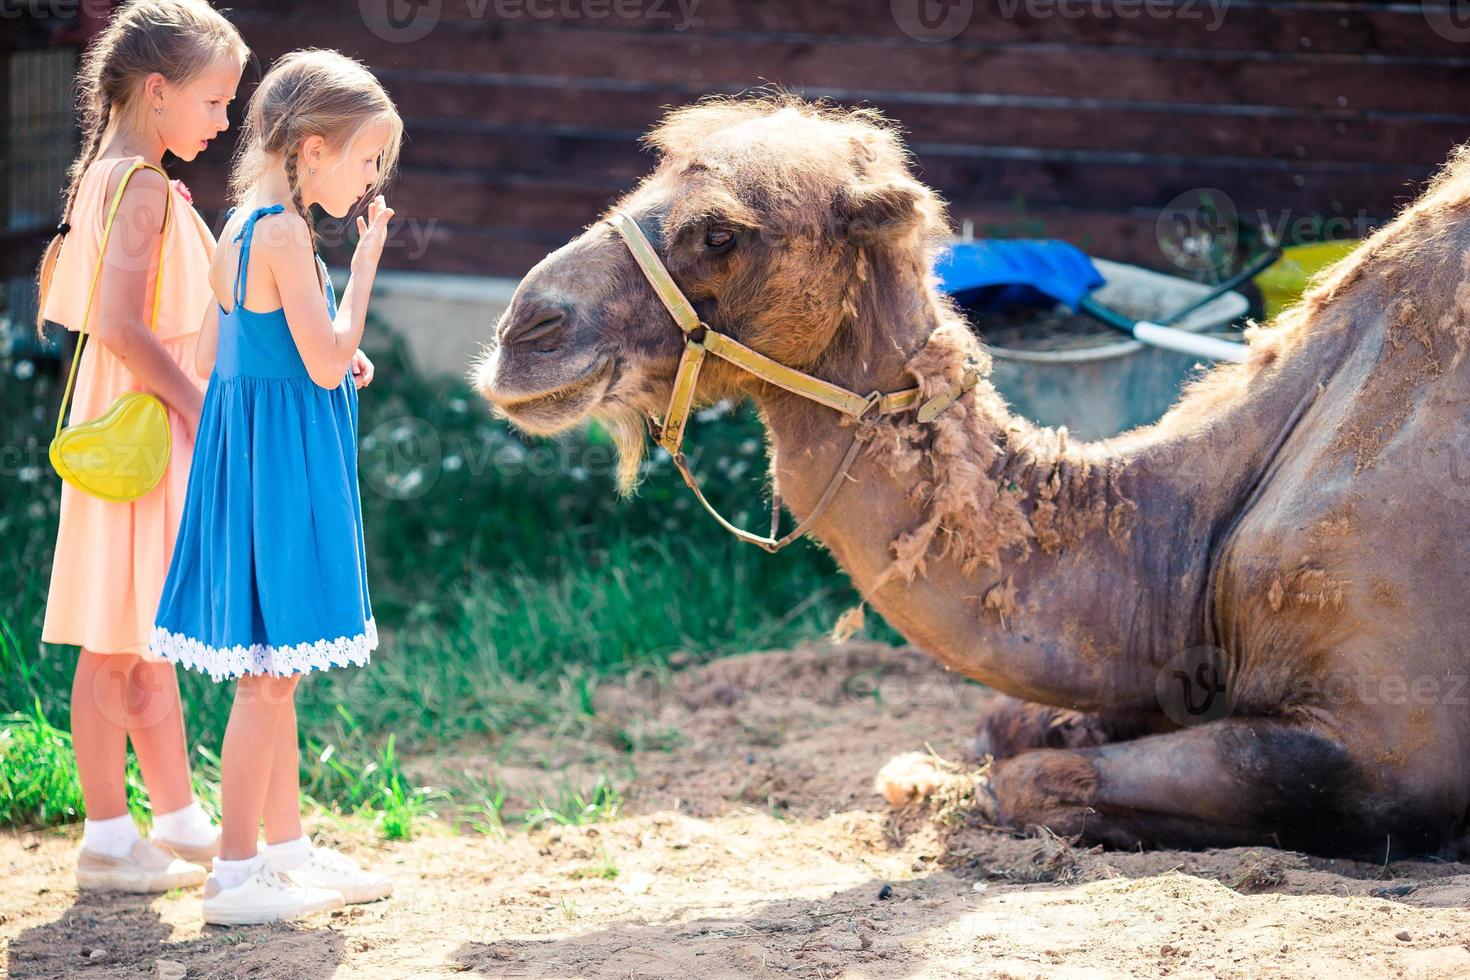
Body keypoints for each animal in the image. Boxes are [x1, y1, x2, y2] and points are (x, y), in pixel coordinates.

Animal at [473, 94, 1470, 858]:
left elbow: (1027, 780)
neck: (1180, 542)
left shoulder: (1381, 749)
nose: (525, 330)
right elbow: (1007, 725)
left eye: (720, 231)